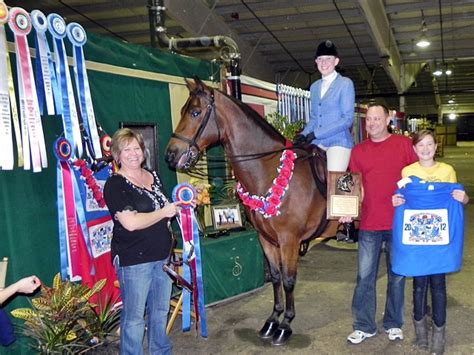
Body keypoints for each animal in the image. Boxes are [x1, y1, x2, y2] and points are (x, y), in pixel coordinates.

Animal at [165, 78, 336, 348]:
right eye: (182, 111)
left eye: (195, 112)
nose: (170, 155)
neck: (270, 171)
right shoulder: (266, 239)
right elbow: (276, 277)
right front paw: (272, 321)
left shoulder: (289, 240)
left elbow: (289, 280)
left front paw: (285, 325)